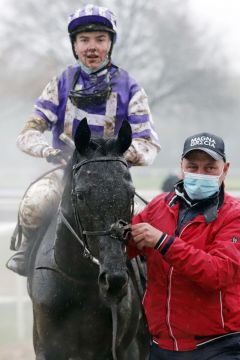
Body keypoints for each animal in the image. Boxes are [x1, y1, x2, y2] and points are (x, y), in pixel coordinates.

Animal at [27, 119, 149, 358]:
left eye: (130, 193)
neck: (80, 281)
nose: (114, 279)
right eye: (80, 195)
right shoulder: (47, 349)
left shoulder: (123, 349)